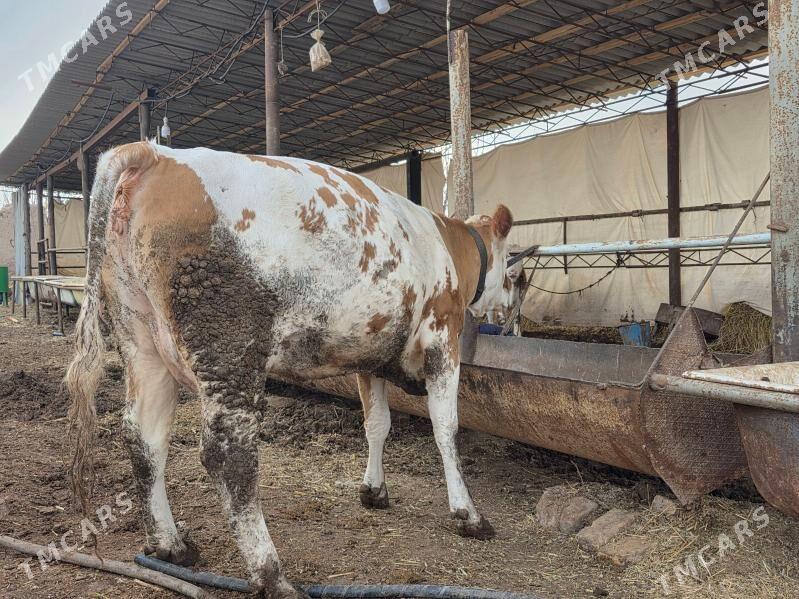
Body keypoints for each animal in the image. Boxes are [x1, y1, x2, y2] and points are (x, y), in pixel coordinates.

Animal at [66, 141, 514, 598]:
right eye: (512, 267)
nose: (511, 305)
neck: (446, 246)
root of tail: (155, 153)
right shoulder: (443, 337)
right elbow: (446, 428)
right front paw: (468, 514)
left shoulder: (370, 353)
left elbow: (377, 424)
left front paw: (374, 490)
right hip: (228, 346)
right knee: (228, 455)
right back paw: (272, 575)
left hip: (141, 341)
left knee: (145, 439)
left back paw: (170, 546)